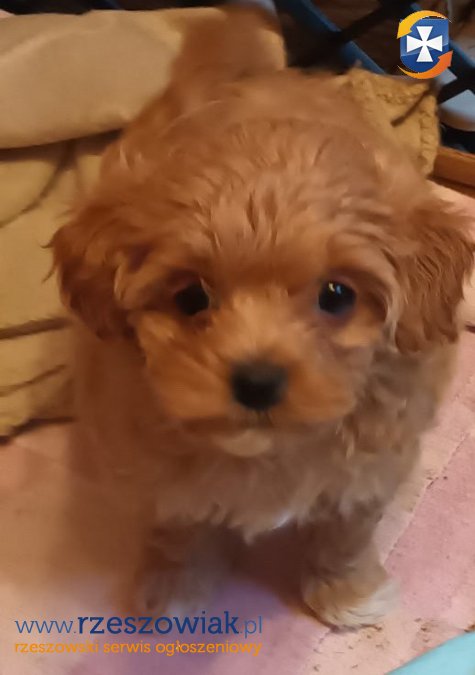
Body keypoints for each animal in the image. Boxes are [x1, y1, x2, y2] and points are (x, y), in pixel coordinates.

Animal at [52, 7, 473, 627]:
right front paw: (175, 589)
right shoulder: (155, 471)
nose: (256, 382)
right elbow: (176, 533)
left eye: (337, 296)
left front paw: (348, 594)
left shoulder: (370, 466)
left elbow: (345, 534)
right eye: (191, 298)